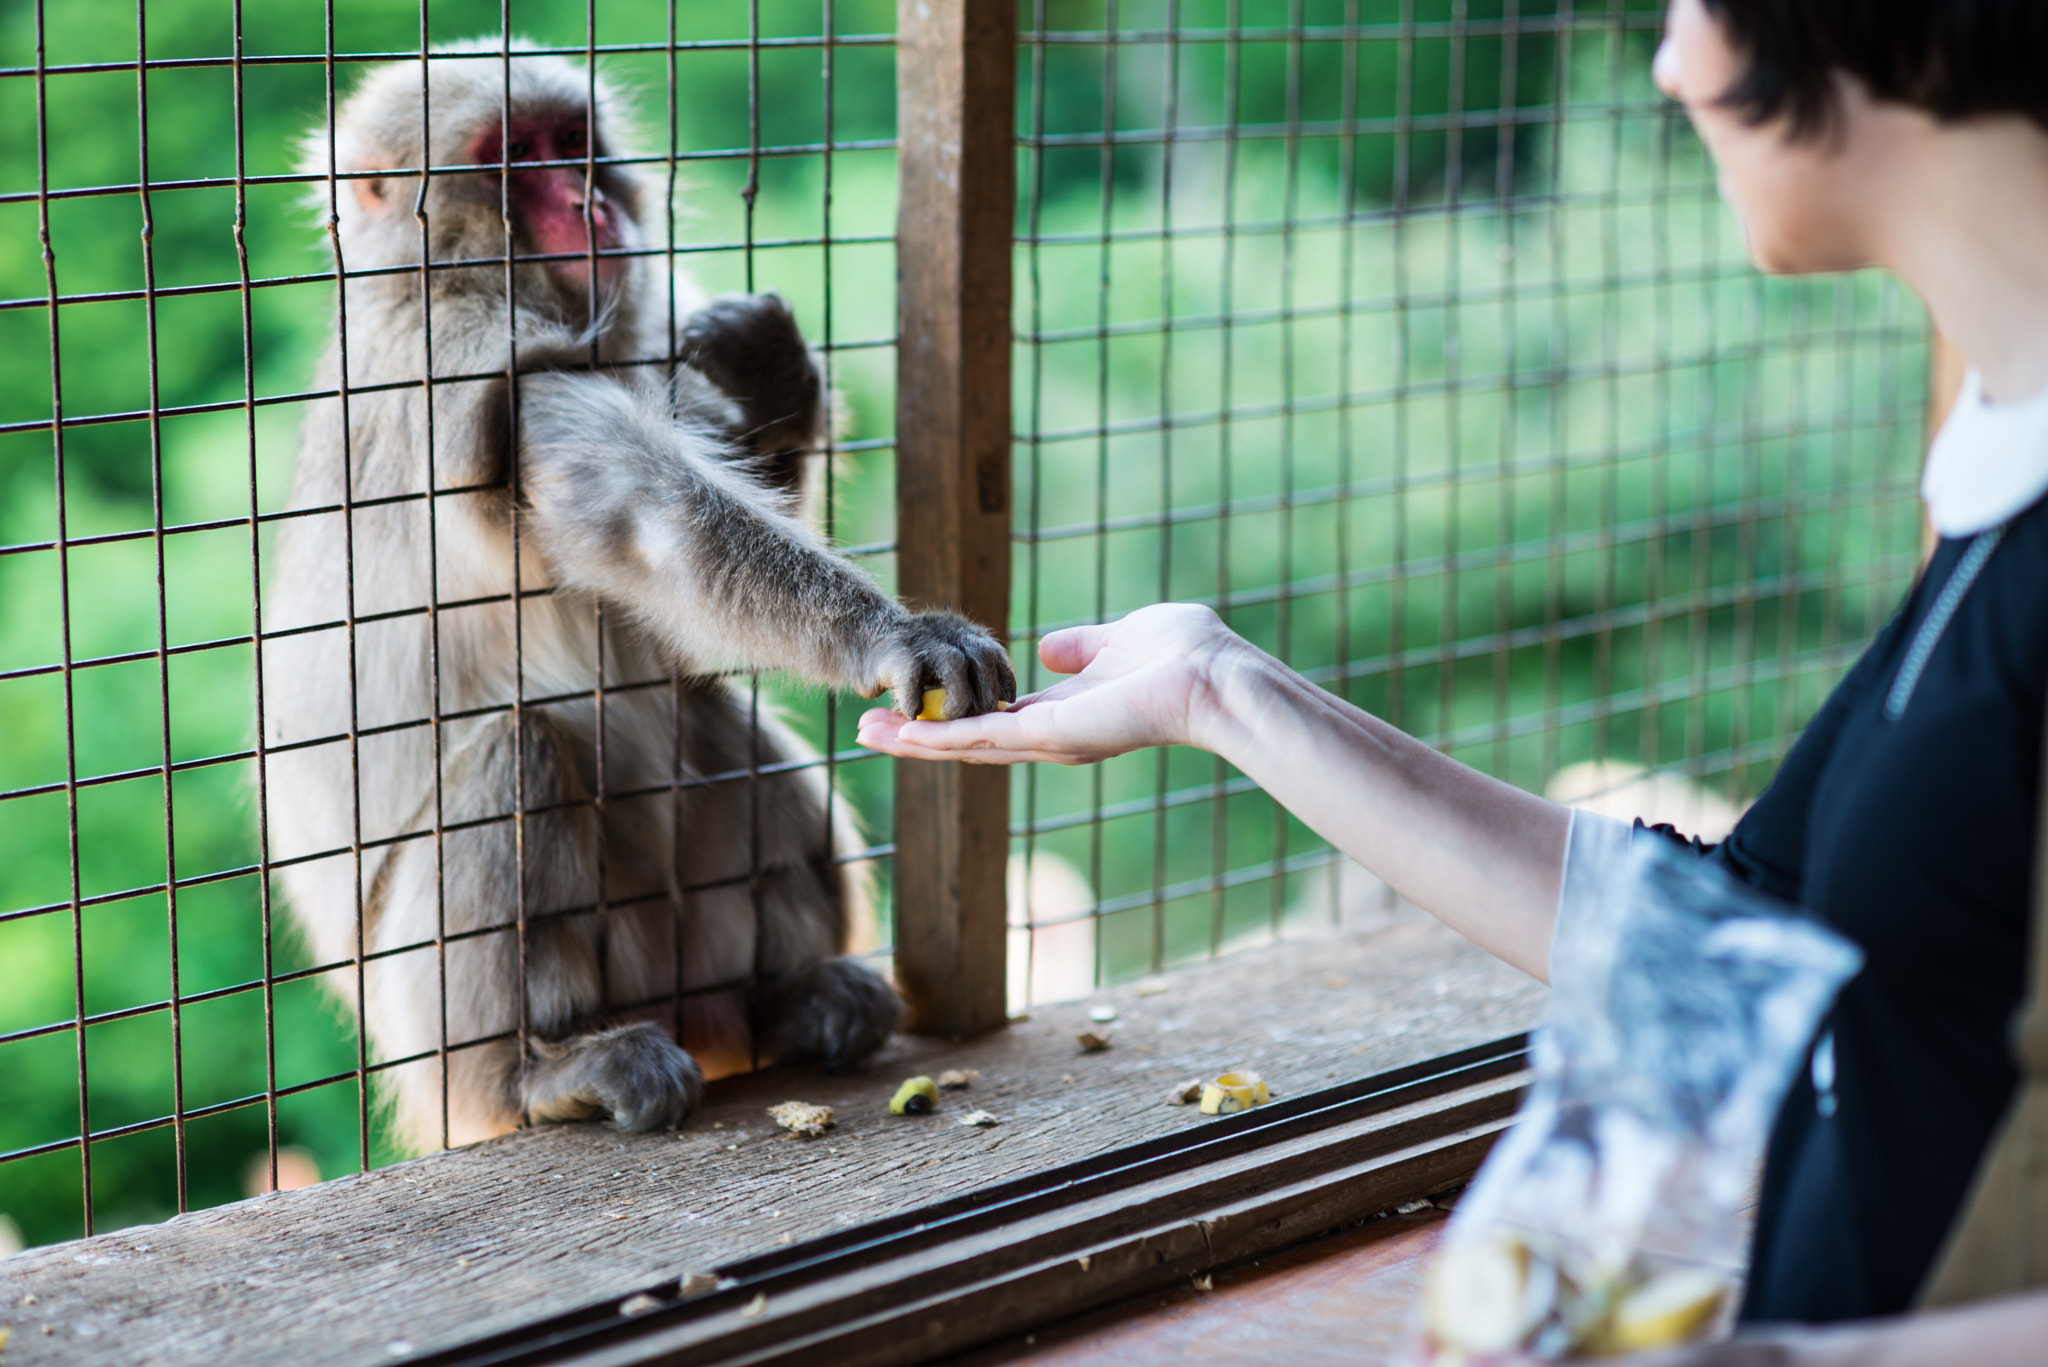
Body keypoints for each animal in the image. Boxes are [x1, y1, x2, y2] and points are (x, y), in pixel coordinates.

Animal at [264, 42, 1015, 1155]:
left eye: (569, 141)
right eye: (511, 157)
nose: (588, 202)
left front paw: (769, 370)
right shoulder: (457, 357)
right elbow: (647, 520)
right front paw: (895, 632)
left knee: (719, 724)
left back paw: (790, 999)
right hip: (420, 1020)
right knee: (520, 755)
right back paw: (540, 1070)